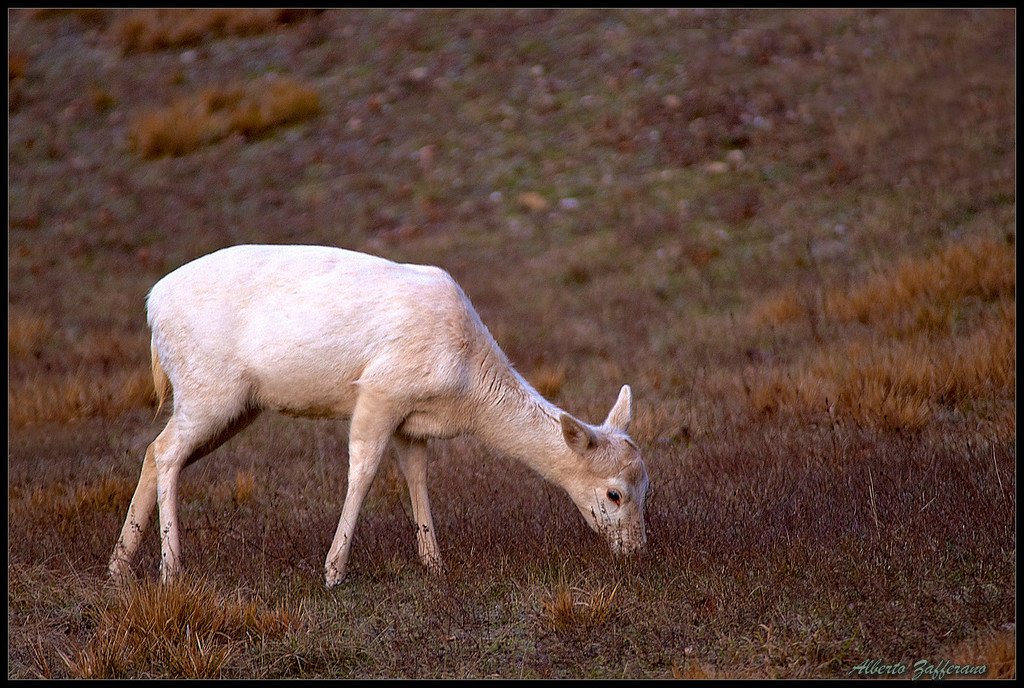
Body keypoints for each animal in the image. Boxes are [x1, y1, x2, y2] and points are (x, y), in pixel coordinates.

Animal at [110, 244, 647, 589]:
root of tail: (152, 307)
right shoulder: (380, 392)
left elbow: (417, 478)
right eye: (614, 493)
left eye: (649, 488)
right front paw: (333, 571)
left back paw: (119, 567)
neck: (466, 390)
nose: (638, 552)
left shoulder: (413, 421)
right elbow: (363, 472)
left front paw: (434, 565)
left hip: (231, 405)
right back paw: (171, 569)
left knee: (154, 451)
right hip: (210, 390)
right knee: (167, 452)